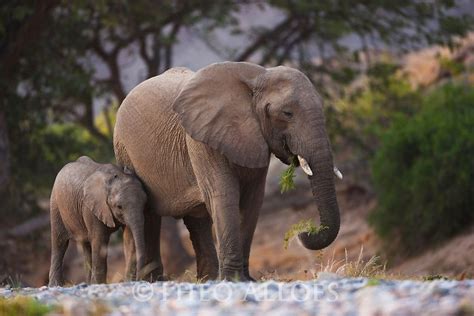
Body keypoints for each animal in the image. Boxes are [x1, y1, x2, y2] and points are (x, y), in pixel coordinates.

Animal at [47, 156, 146, 286]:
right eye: (119, 207)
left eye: (145, 203)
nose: (140, 278)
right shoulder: (91, 207)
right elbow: (100, 241)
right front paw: (99, 284)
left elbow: (129, 238)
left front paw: (128, 282)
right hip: (55, 204)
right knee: (59, 242)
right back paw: (56, 285)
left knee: (86, 245)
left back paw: (88, 283)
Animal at [115, 61, 340, 282]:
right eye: (287, 113)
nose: (303, 233)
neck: (258, 76)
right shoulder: (200, 141)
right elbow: (225, 195)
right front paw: (232, 279)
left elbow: (252, 200)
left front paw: (245, 279)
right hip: (125, 151)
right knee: (149, 215)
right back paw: (151, 280)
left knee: (197, 220)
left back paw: (207, 279)